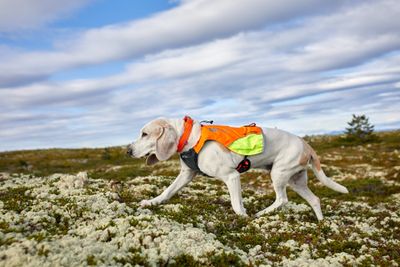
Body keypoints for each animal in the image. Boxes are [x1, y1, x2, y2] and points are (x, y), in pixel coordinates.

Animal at [128, 118, 346, 221]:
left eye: (144, 134)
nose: (128, 150)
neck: (190, 137)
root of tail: (306, 144)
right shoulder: (186, 175)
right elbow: (167, 191)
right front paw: (151, 202)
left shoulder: (231, 177)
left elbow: (235, 205)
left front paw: (243, 218)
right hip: (296, 181)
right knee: (315, 200)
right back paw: (321, 224)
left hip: (278, 174)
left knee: (282, 199)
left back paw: (260, 214)